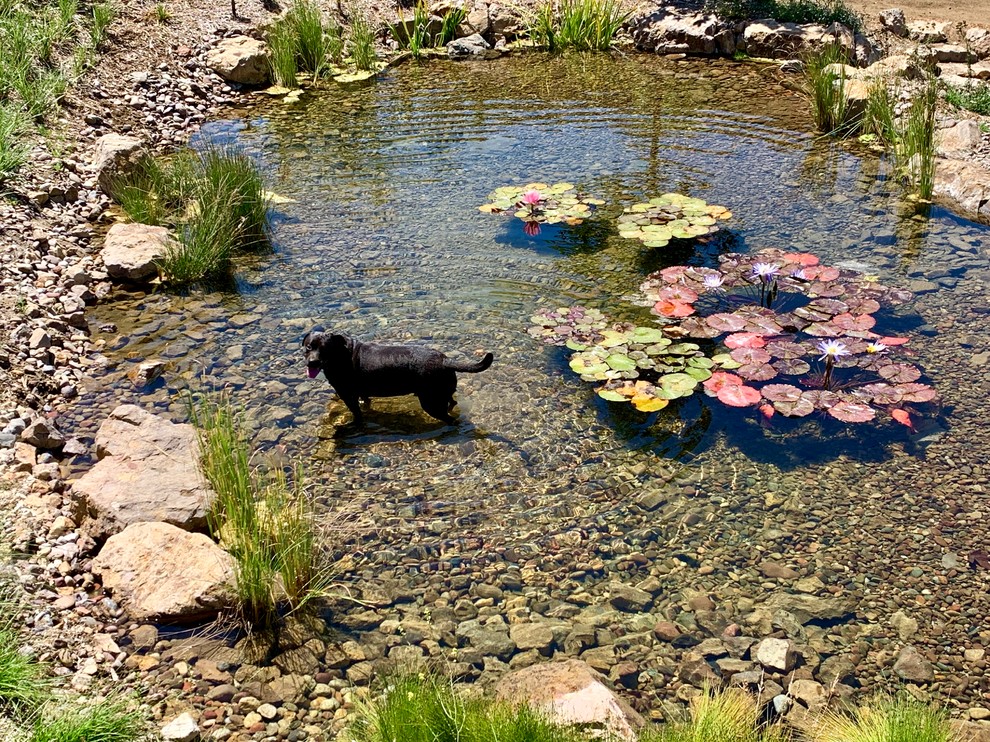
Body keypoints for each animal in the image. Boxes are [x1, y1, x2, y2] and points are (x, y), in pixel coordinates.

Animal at [302, 330, 496, 428]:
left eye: (325, 349)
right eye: (309, 347)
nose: (312, 362)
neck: (342, 354)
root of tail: (445, 360)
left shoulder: (348, 395)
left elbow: (357, 414)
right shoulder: (362, 393)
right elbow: (365, 402)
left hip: (430, 402)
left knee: (449, 419)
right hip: (444, 391)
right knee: (452, 402)